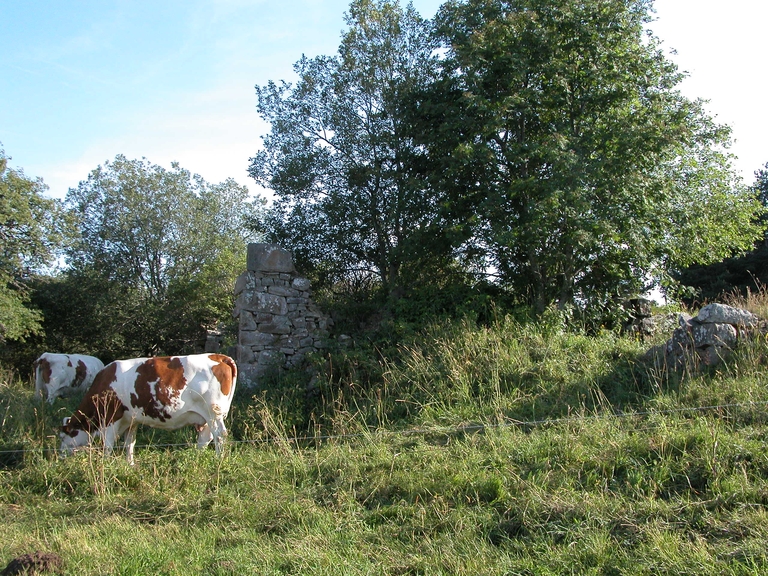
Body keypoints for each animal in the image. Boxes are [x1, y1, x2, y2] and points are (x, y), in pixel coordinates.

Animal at [60, 354, 237, 466]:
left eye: (65, 435)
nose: (60, 456)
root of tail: (218, 357)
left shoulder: (111, 418)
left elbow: (108, 445)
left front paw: (105, 464)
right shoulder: (131, 420)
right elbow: (129, 443)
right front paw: (130, 464)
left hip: (213, 413)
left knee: (219, 435)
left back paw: (218, 460)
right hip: (207, 416)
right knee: (206, 437)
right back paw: (197, 458)